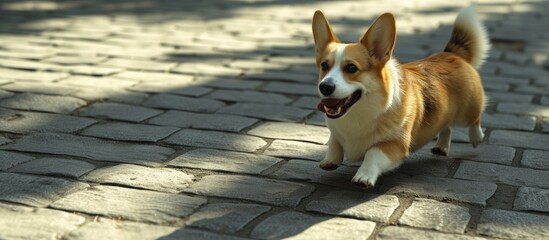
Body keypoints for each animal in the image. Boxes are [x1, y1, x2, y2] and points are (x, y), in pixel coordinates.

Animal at [312, 4, 488, 187]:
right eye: (324, 66)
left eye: (352, 68)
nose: (324, 87)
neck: (359, 114)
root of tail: (452, 53)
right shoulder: (336, 131)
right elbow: (334, 142)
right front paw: (330, 160)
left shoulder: (396, 144)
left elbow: (373, 152)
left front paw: (364, 176)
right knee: (446, 126)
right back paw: (441, 147)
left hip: (467, 113)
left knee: (474, 119)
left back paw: (477, 137)